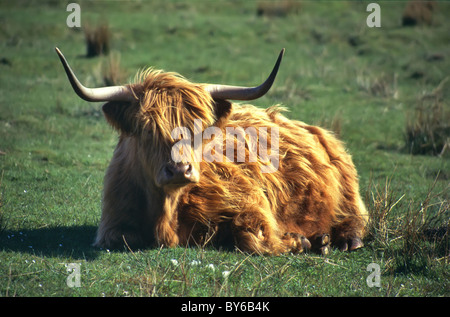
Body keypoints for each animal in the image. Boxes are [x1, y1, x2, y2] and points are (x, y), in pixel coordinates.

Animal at [56, 47, 368, 254]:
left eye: (202, 129)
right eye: (146, 128)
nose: (179, 169)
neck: (166, 210)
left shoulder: (249, 201)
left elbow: (255, 239)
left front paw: (298, 240)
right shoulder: (113, 222)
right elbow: (122, 238)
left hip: (346, 188)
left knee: (355, 215)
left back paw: (341, 239)